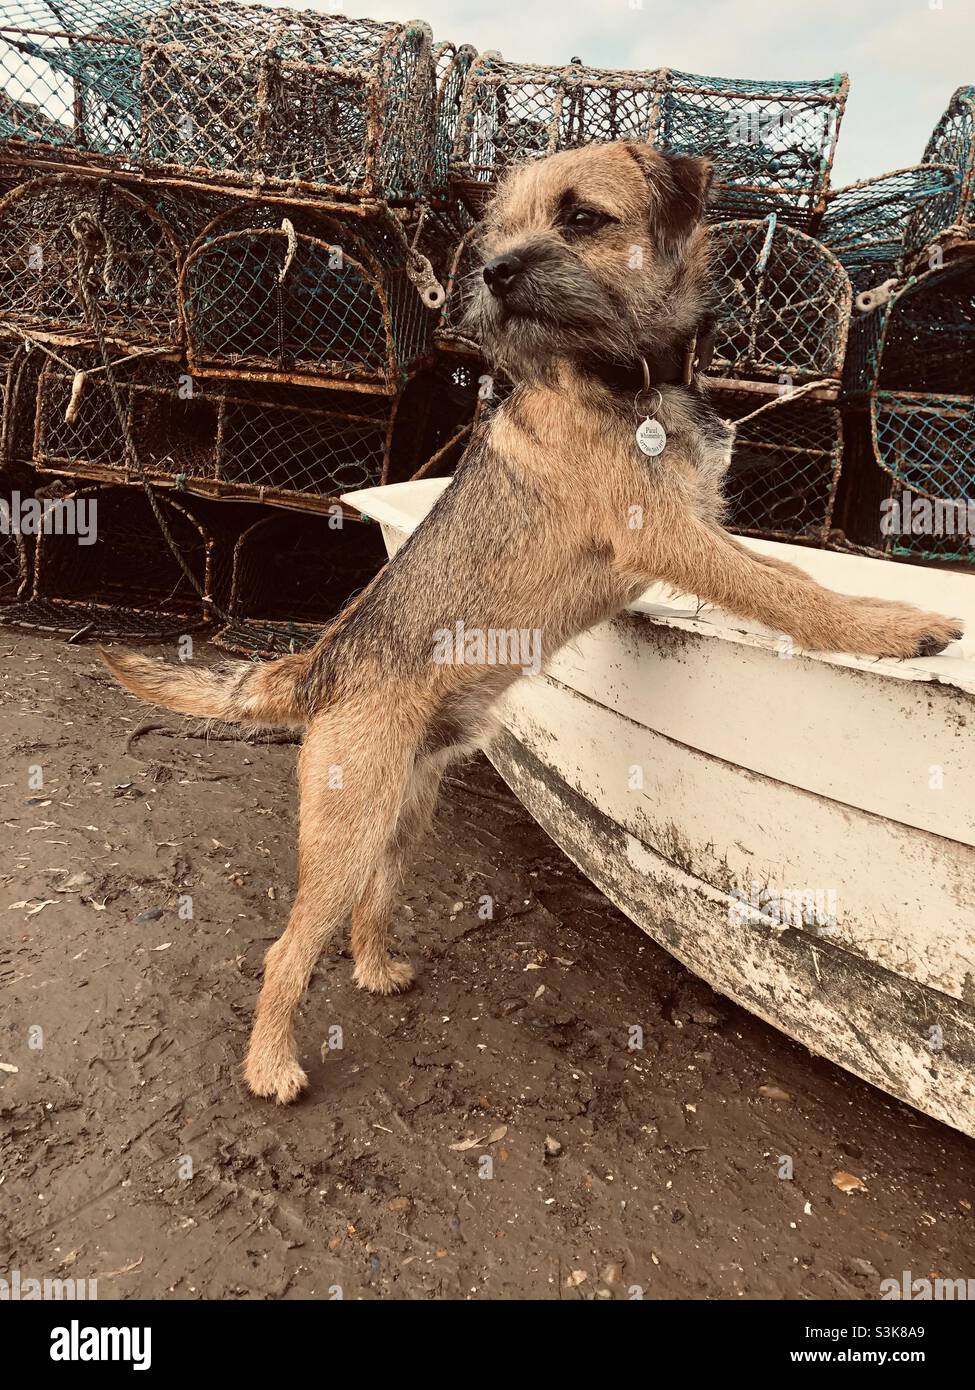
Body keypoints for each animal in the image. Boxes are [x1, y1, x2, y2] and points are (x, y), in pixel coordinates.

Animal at [96, 135, 956, 1100]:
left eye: (580, 217)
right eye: (498, 231)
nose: (495, 272)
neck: (628, 376)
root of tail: (321, 660)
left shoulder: (699, 524)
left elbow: (779, 571)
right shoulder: (672, 534)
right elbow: (787, 592)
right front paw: (897, 628)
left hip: (406, 812)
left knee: (369, 905)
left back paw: (379, 968)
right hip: (347, 821)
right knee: (288, 947)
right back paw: (272, 1065)